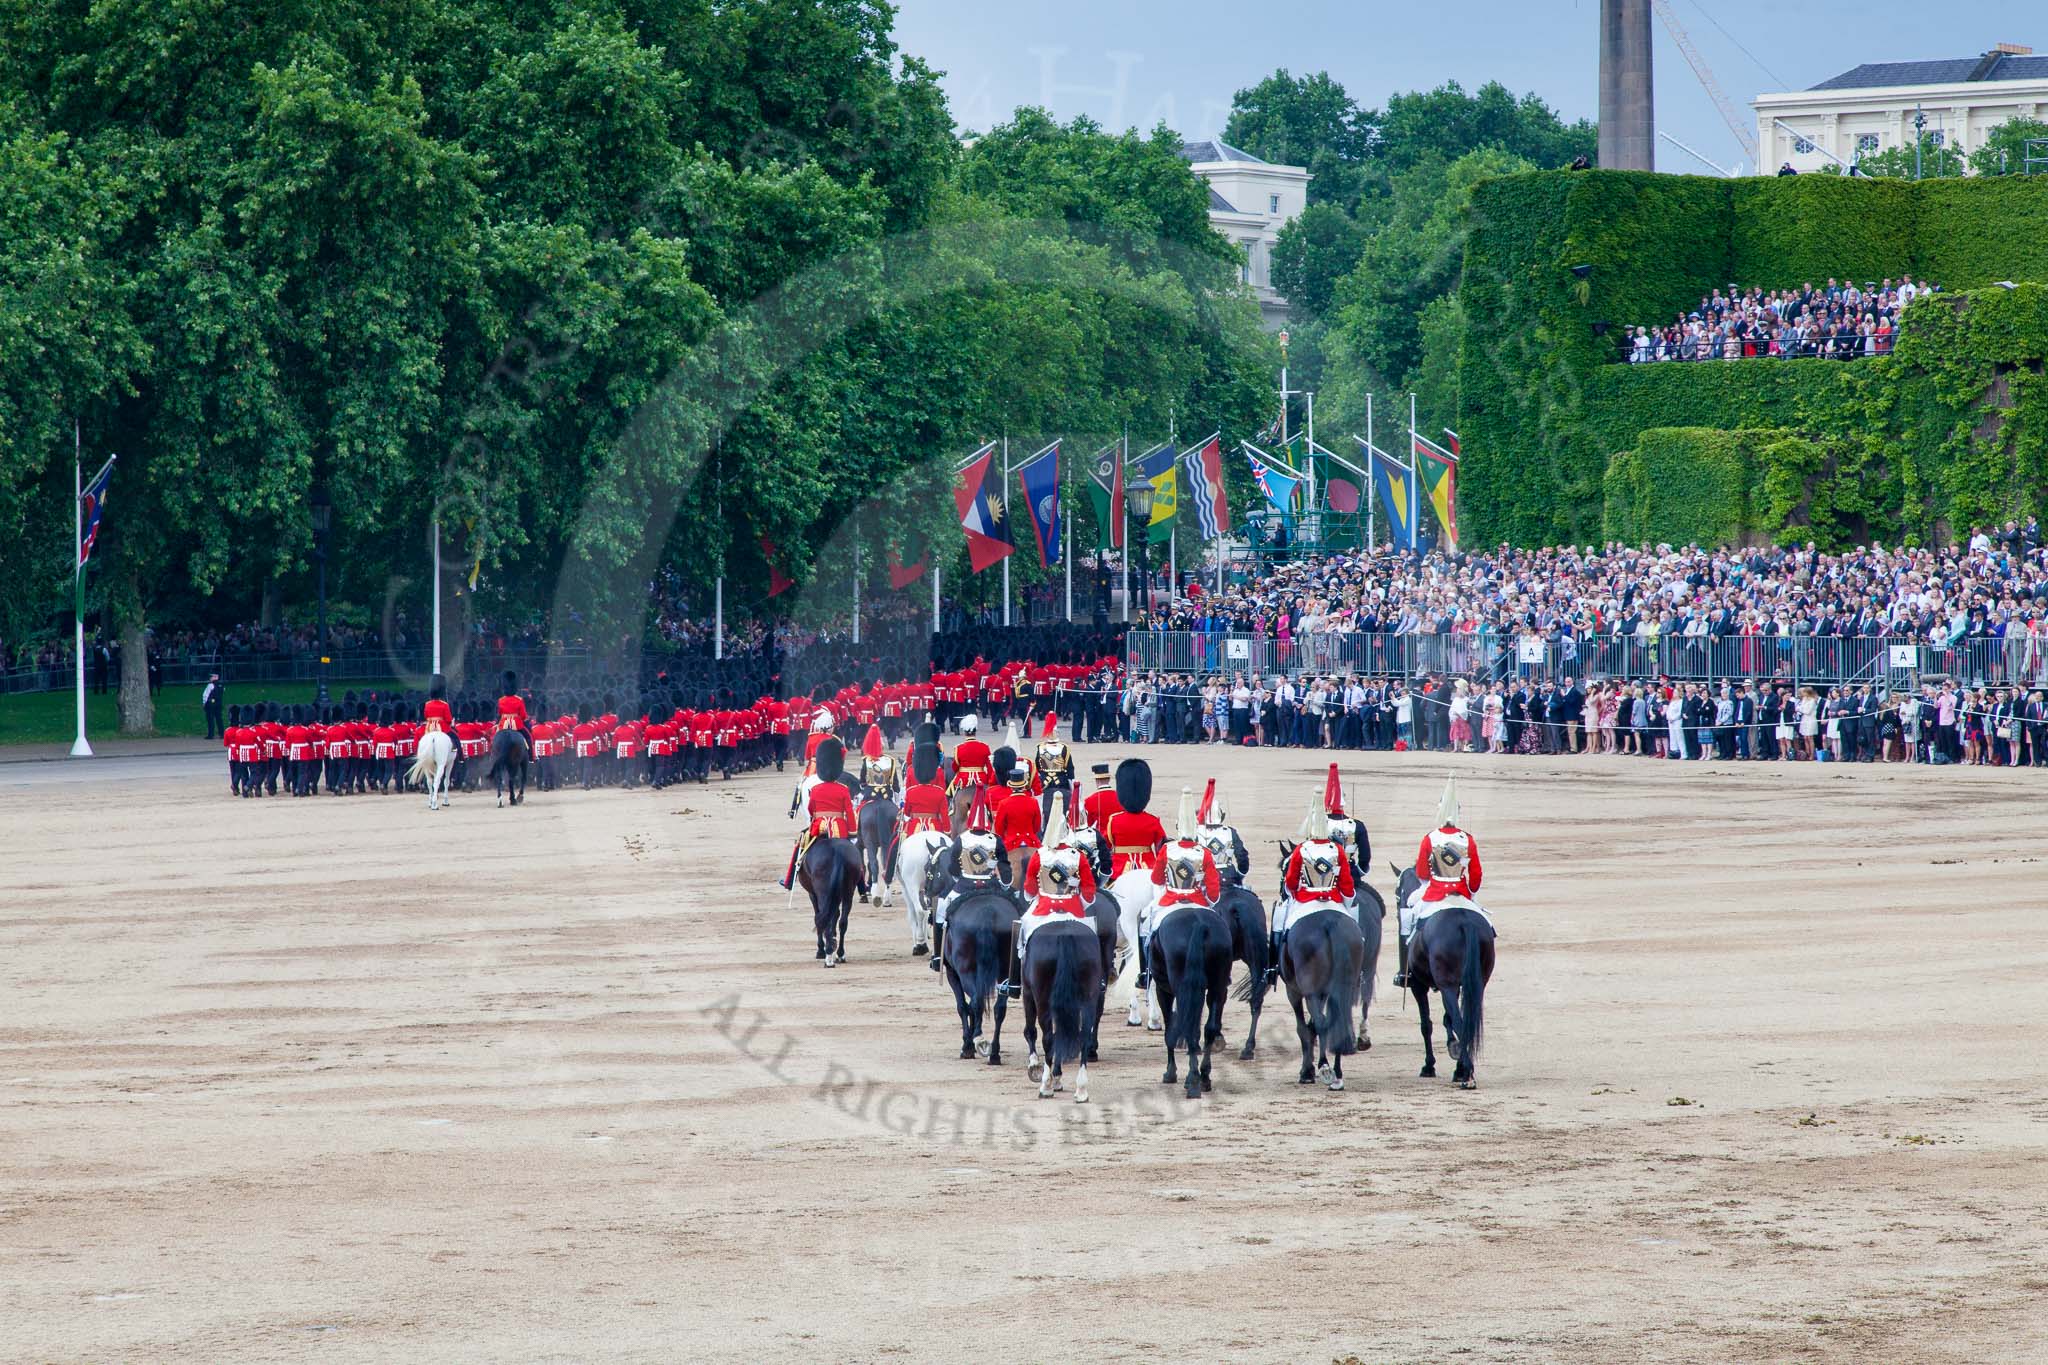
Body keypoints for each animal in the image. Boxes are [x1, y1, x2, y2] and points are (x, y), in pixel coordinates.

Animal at [937, 888, 1015, 1064]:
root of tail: (987, 911)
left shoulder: (953, 974)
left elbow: (962, 1006)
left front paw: (967, 1046)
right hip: (1004, 973)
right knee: (999, 1008)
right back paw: (994, 1053)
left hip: (966, 972)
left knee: (975, 1002)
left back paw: (978, 1041)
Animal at [1155, 908, 1228, 1096]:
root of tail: (1198, 922)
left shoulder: (1163, 991)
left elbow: (1169, 1031)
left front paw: (1170, 1072)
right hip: (1217, 986)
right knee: (1209, 1028)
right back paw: (1204, 1077)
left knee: (1189, 1028)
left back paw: (1193, 1078)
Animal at [1392, 875, 1490, 1088]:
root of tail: (1464, 920)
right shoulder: (1459, 986)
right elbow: (1447, 1019)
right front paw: (1453, 1050)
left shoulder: (1419, 987)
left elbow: (1426, 1025)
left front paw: (1429, 1066)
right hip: (1477, 985)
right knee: (1466, 1021)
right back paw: (1463, 1070)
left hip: (1447, 986)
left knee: (1460, 1022)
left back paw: (1466, 1074)